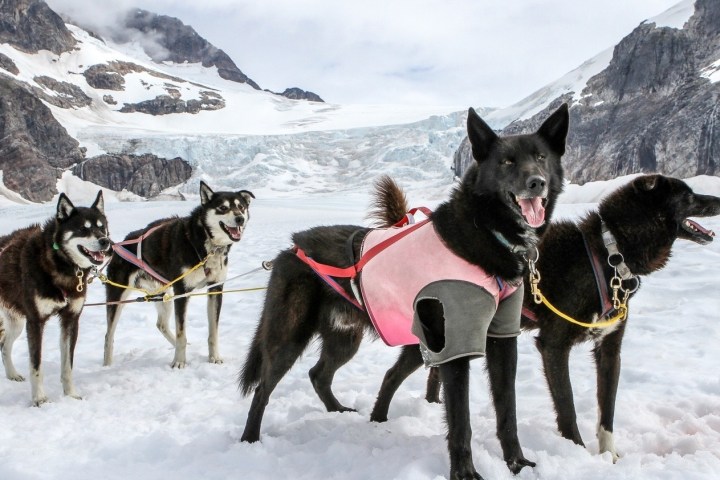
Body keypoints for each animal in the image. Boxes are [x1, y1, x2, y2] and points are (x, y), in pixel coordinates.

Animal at [0, 191, 111, 404]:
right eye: (83, 229)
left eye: (102, 227)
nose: (106, 242)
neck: (60, 263)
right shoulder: (35, 322)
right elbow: (36, 366)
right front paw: (40, 399)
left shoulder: (71, 320)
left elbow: (68, 364)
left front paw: (71, 394)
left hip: (16, 322)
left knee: (4, 345)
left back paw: (12, 374)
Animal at [103, 183, 253, 368]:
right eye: (223, 208)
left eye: (241, 207)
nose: (240, 218)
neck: (203, 243)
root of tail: (119, 245)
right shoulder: (182, 291)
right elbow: (182, 332)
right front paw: (179, 362)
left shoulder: (215, 288)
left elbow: (213, 332)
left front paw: (214, 357)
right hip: (118, 297)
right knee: (109, 335)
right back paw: (107, 365)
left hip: (164, 295)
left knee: (161, 324)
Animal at [240, 103, 568, 478]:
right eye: (507, 161)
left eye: (540, 157)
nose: (536, 183)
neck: (485, 231)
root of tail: (291, 248)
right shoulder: (455, 348)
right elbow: (461, 421)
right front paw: (465, 473)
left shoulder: (502, 341)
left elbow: (507, 411)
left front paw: (517, 464)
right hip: (289, 338)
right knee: (263, 389)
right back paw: (250, 441)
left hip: (353, 339)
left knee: (321, 374)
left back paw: (349, 413)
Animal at [372, 172, 720, 462]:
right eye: (688, 195)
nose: (718, 199)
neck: (607, 254)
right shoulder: (553, 345)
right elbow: (567, 407)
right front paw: (576, 452)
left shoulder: (610, 349)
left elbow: (607, 409)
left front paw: (609, 456)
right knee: (392, 374)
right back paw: (378, 419)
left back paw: (432, 405)